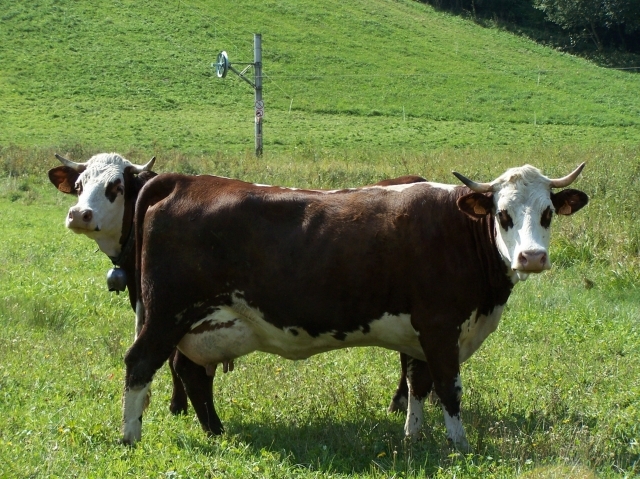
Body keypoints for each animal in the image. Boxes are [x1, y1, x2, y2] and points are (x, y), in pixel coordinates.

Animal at [122, 162, 588, 450]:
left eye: (547, 213)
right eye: (503, 214)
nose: (532, 257)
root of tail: (183, 180)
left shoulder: (418, 333)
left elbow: (417, 385)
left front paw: (412, 438)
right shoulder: (440, 326)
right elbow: (449, 387)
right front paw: (460, 445)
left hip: (202, 324)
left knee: (192, 373)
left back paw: (217, 432)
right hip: (166, 315)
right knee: (140, 363)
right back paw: (130, 437)